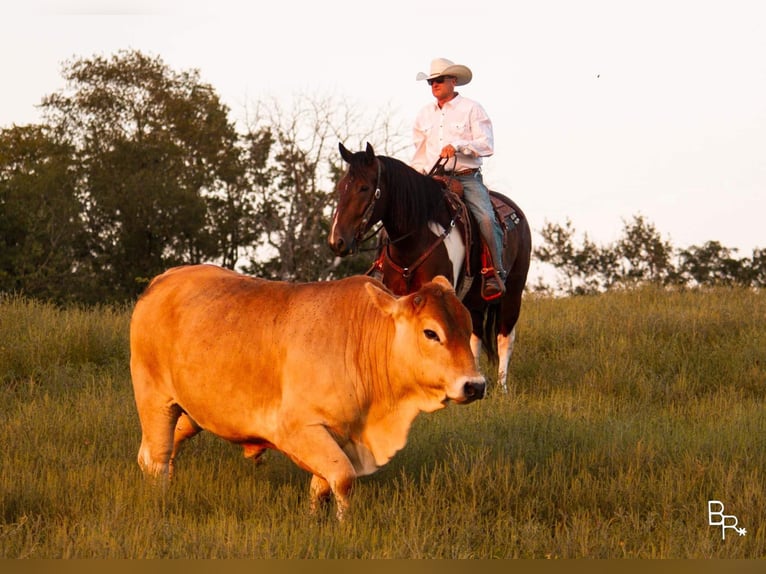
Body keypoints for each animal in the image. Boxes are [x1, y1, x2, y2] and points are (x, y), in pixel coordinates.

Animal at [128, 266, 484, 520]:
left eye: (468, 329)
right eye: (431, 333)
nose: (475, 385)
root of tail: (164, 280)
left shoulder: (339, 436)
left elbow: (322, 484)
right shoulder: (297, 429)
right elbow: (344, 478)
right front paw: (344, 526)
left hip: (192, 413)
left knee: (164, 451)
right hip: (155, 400)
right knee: (156, 457)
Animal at [330, 143, 536, 396]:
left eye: (364, 187)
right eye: (341, 186)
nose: (337, 241)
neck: (415, 240)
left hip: (513, 292)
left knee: (505, 337)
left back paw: (502, 388)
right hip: (475, 300)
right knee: (476, 335)